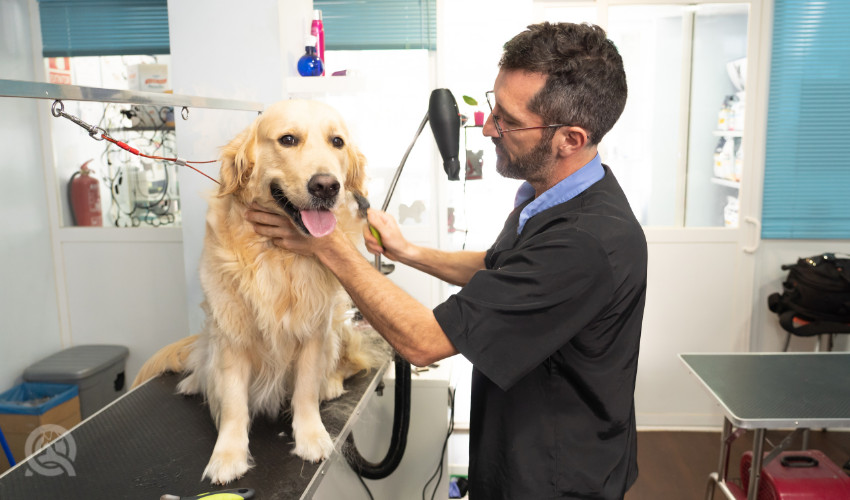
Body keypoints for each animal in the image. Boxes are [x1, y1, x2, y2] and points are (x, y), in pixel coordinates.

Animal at [134, 97, 386, 484]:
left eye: (337, 142)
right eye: (287, 140)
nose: (326, 186)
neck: (277, 253)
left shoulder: (313, 329)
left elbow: (305, 390)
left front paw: (311, 436)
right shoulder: (231, 333)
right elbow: (233, 402)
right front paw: (227, 455)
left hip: (335, 329)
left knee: (345, 363)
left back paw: (330, 382)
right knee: (205, 363)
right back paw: (196, 381)